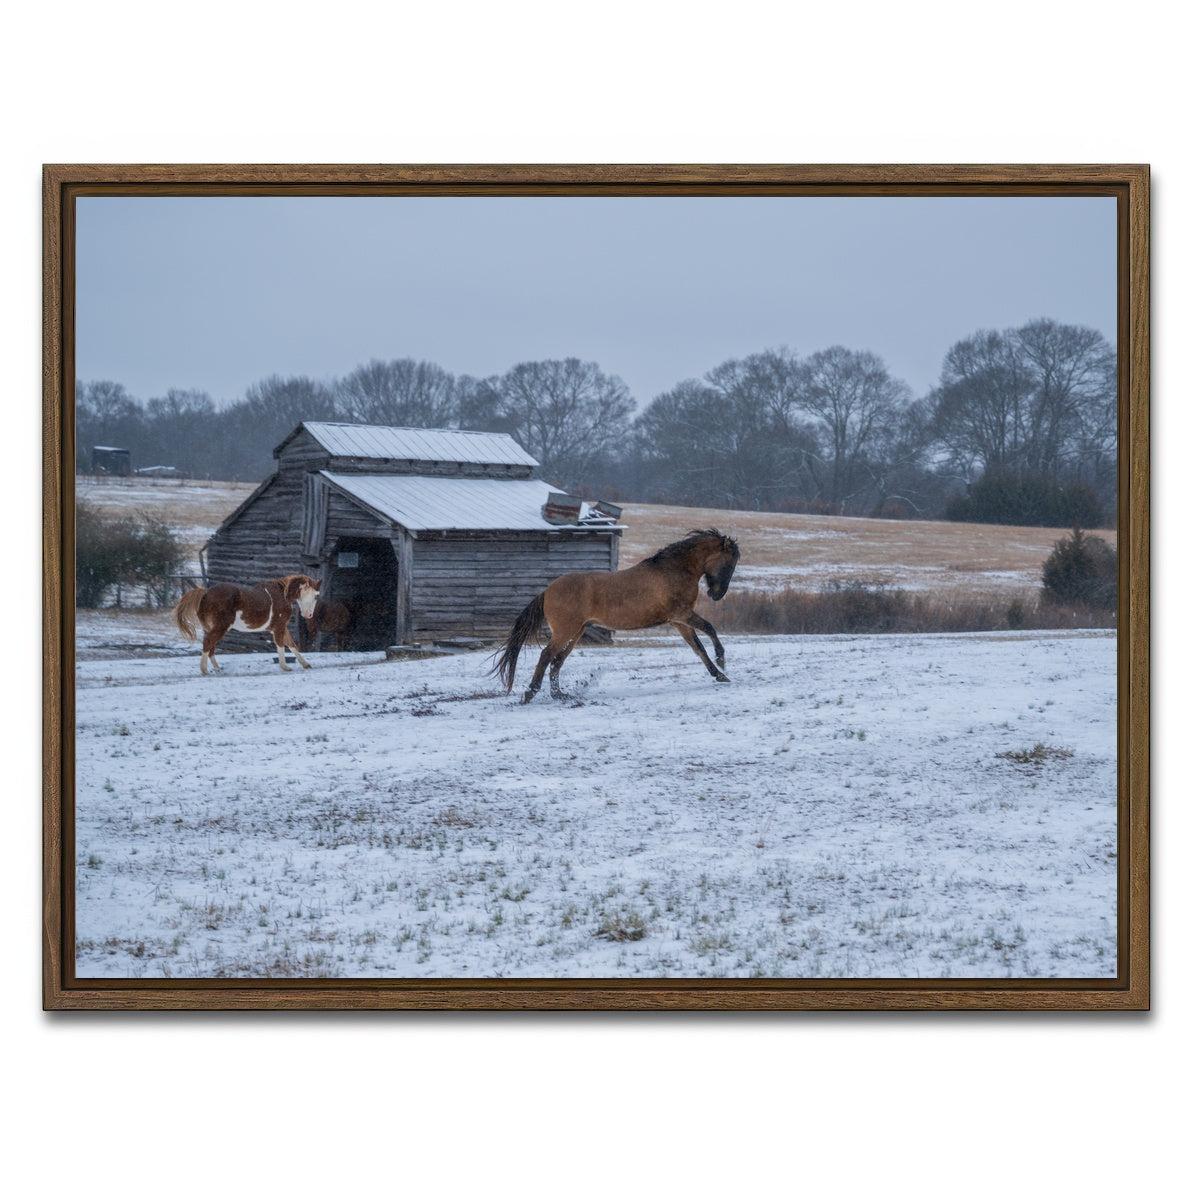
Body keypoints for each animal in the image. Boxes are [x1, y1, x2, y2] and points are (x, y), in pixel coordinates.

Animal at [173, 574, 321, 675]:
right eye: (316, 596)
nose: (308, 615)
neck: (282, 595)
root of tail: (206, 593)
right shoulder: (279, 626)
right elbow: (281, 645)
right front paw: (285, 667)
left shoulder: (279, 627)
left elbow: (292, 644)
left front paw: (306, 664)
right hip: (221, 627)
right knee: (208, 642)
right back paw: (204, 669)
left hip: (211, 627)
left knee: (211, 646)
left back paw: (217, 669)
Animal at [492, 529, 740, 703]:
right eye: (729, 564)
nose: (716, 595)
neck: (673, 570)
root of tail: (547, 591)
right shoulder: (682, 614)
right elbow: (709, 629)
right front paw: (722, 661)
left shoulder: (679, 622)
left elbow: (698, 648)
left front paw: (719, 675)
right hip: (565, 631)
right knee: (546, 656)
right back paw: (530, 694)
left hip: (576, 632)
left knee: (557, 661)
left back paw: (560, 695)